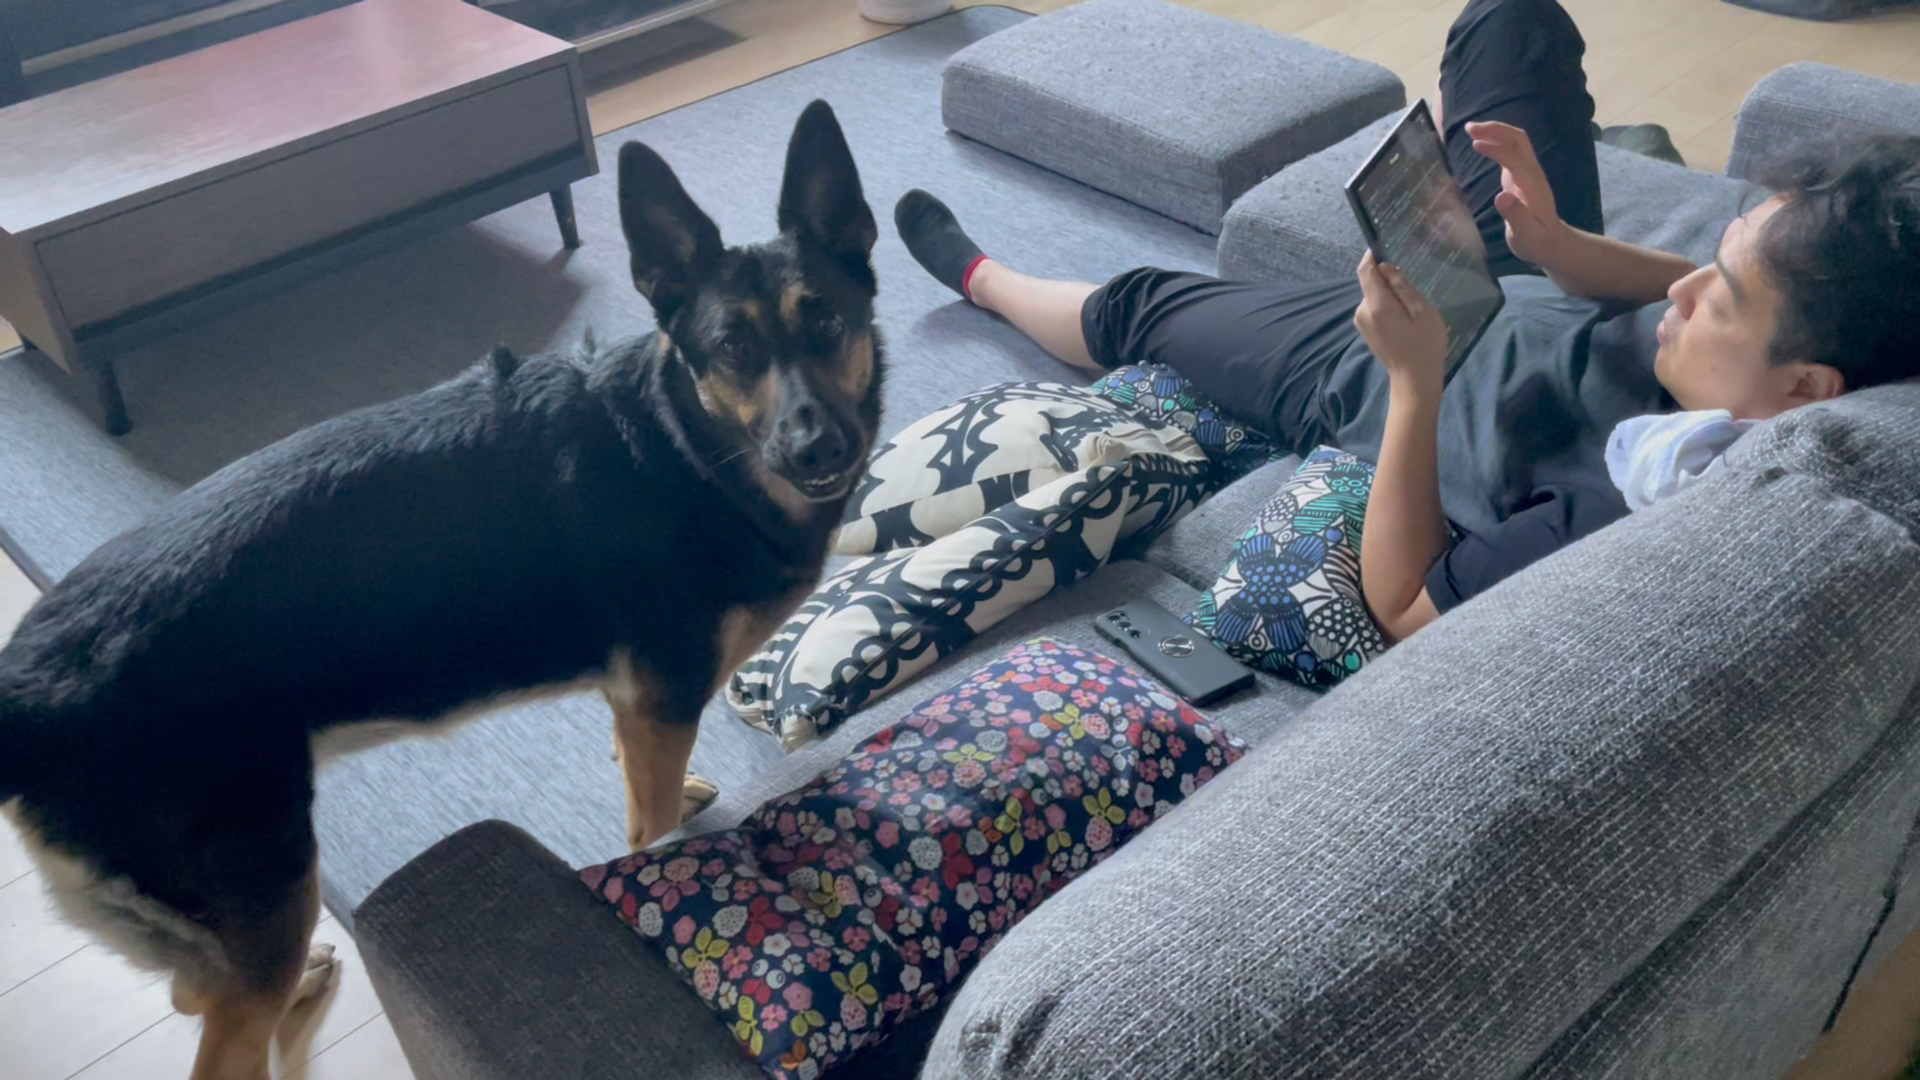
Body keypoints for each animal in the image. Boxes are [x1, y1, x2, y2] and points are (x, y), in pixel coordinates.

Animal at [0, 99, 882, 1080]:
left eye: (827, 323)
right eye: (733, 348)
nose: (819, 447)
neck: (687, 443)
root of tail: (26, 690)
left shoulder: (636, 702)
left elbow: (637, 769)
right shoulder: (662, 697)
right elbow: (647, 825)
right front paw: (650, 859)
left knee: (194, 988)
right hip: (268, 880)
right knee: (223, 1032)